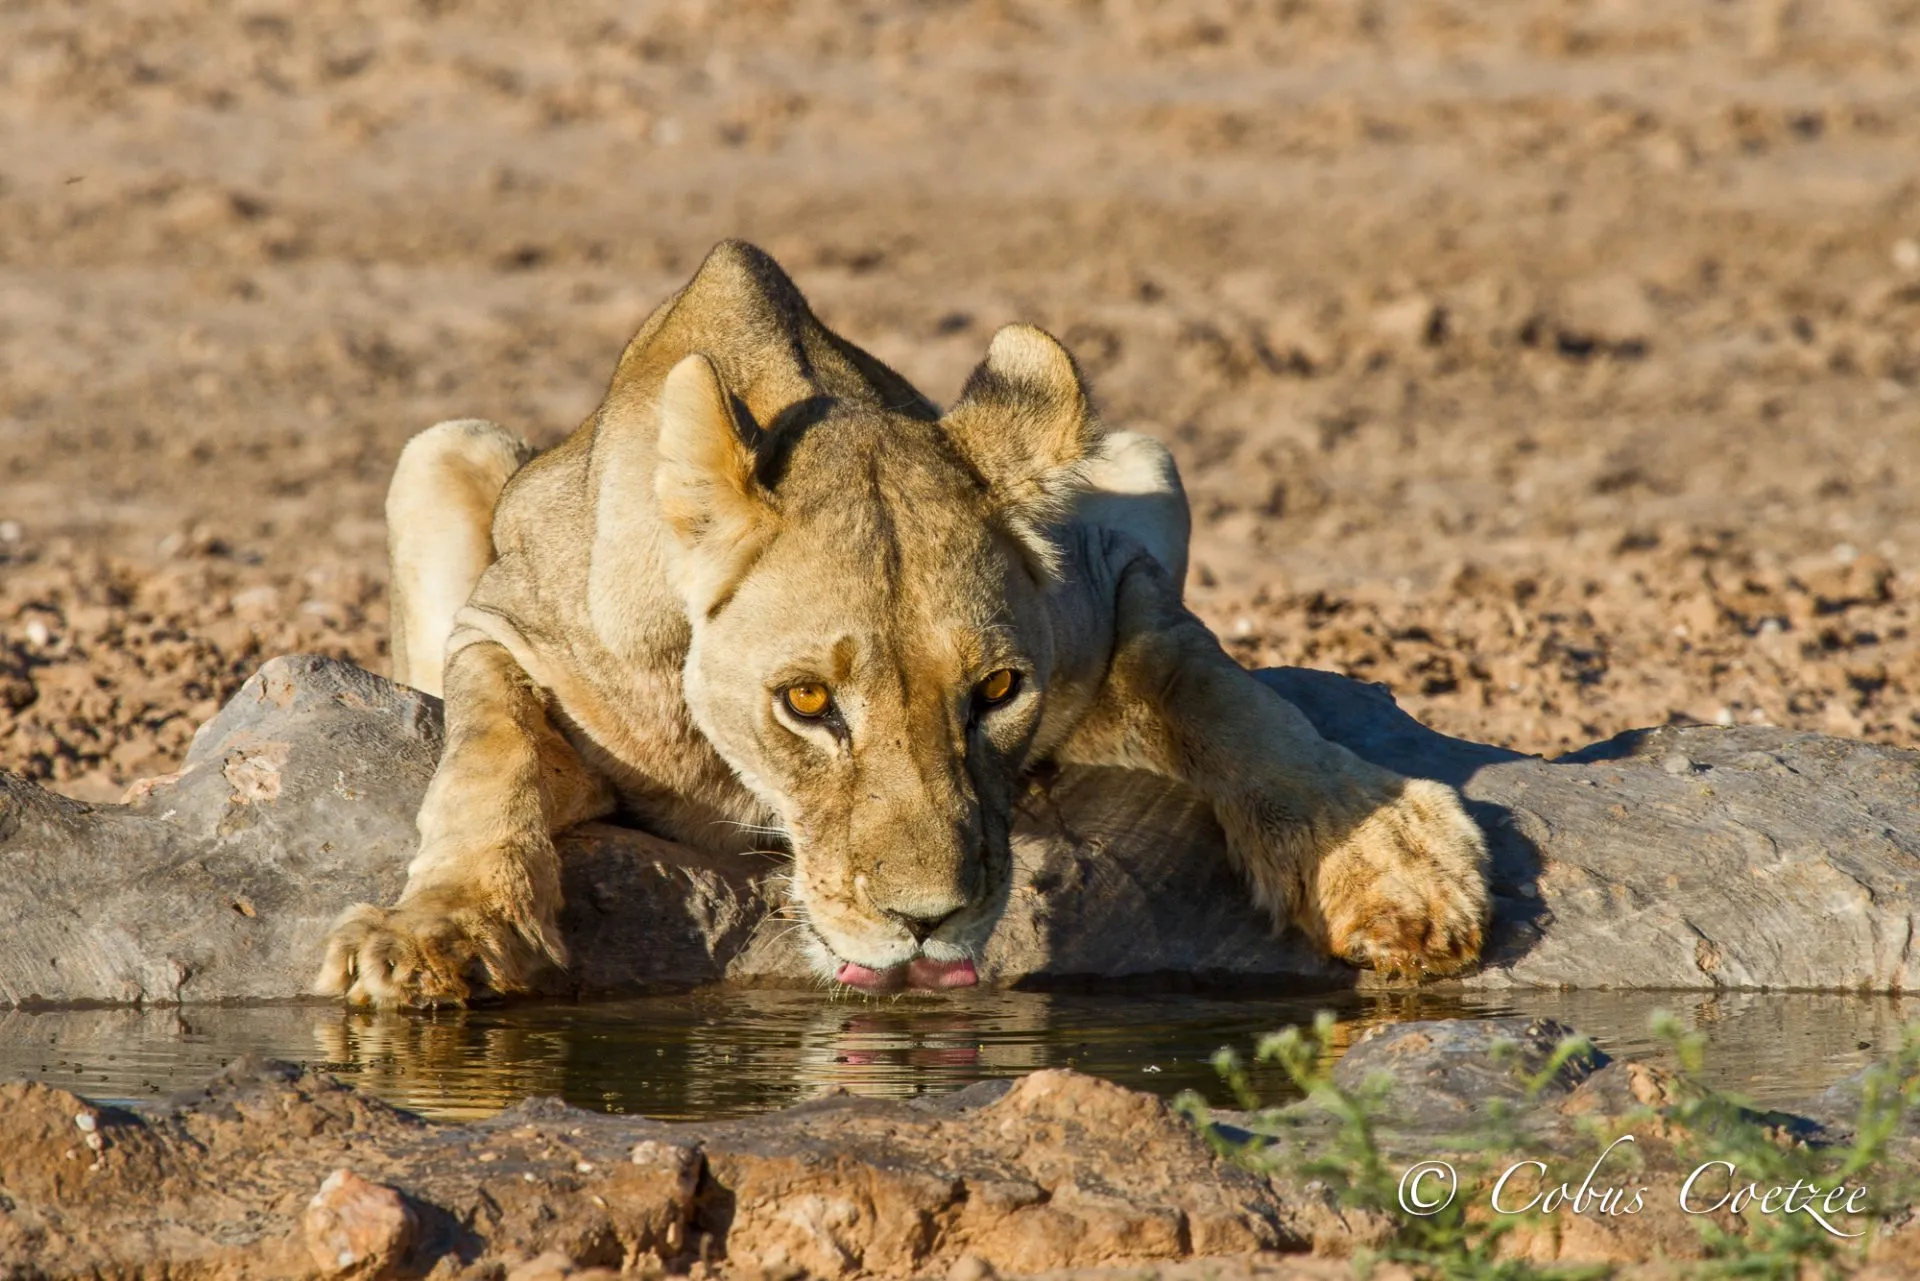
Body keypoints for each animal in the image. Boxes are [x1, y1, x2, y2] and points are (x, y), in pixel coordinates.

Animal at [315, 240, 1489, 1007]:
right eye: (805, 701)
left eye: (998, 690)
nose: (928, 921)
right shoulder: (506, 623)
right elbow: (488, 751)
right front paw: (441, 931)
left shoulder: (1113, 580)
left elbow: (1218, 689)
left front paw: (1391, 861)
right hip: (439, 446)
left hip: (1139, 456)